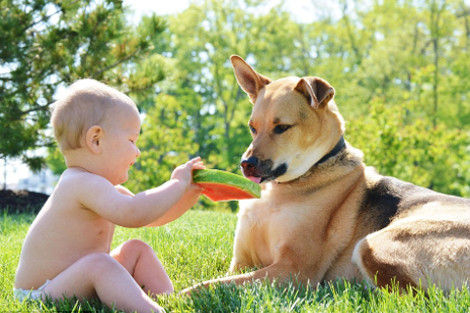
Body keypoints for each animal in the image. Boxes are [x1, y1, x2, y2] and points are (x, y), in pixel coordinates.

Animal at [184, 54, 470, 292]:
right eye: (252, 127)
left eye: (282, 127)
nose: (246, 164)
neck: (282, 189)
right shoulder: (240, 262)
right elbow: (216, 278)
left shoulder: (294, 269)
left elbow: (210, 286)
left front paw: (181, 298)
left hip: (373, 245)